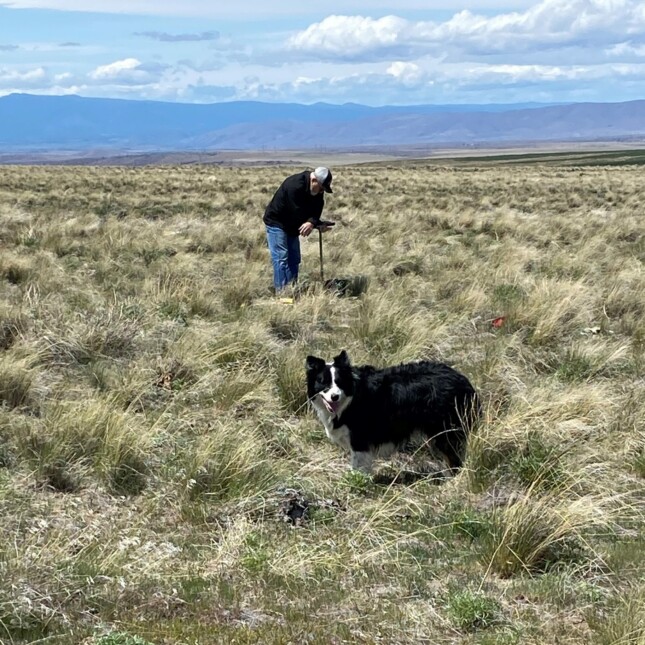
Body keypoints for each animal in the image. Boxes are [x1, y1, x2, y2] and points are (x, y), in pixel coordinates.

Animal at [306, 350, 478, 470]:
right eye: (323, 382)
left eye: (340, 382)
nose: (334, 397)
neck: (350, 398)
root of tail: (462, 380)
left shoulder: (359, 439)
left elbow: (358, 467)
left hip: (444, 431)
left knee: (454, 459)